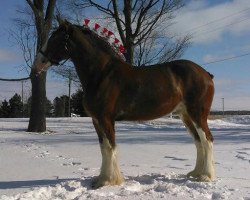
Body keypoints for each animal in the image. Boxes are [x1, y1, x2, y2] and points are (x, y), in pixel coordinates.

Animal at [33, 18, 216, 188]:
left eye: (55, 39)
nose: (37, 65)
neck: (101, 73)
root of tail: (206, 74)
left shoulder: (106, 119)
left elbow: (110, 147)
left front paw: (109, 180)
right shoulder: (96, 120)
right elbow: (103, 148)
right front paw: (101, 179)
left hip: (198, 114)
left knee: (207, 139)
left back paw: (206, 176)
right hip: (185, 115)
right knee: (198, 141)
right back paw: (196, 173)